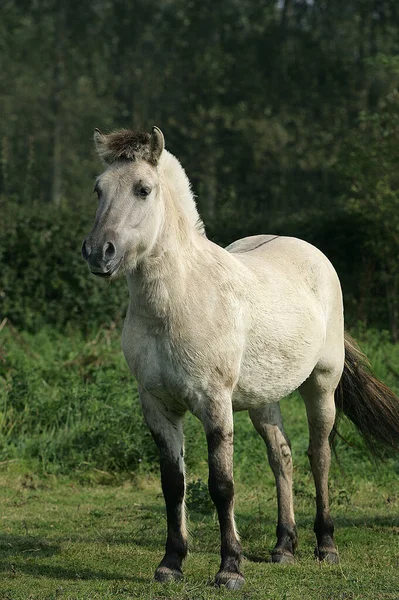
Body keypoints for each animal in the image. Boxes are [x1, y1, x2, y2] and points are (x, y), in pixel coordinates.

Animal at [81, 124, 399, 588]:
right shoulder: (157, 407)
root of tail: (310, 252)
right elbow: (173, 484)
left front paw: (230, 567)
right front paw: (170, 563)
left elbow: (222, 485)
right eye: (98, 188)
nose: (98, 252)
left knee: (318, 456)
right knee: (282, 457)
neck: (178, 299)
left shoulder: (215, 404)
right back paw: (284, 547)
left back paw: (326, 546)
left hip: (321, 385)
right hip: (262, 399)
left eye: (143, 189)